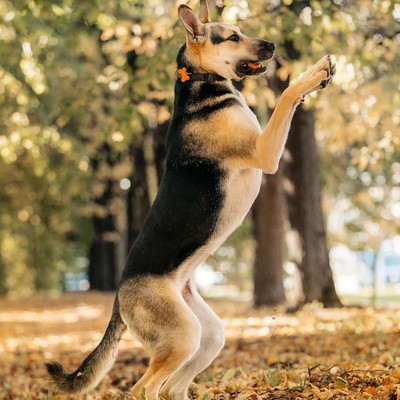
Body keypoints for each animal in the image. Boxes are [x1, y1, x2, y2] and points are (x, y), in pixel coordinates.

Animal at [45, 1, 336, 398]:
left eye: (241, 31)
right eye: (232, 37)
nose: (274, 45)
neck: (200, 81)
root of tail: (119, 299)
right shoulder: (264, 152)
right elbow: (286, 96)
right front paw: (313, 73)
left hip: (207, 335)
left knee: (172, 388)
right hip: (182, 337)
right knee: (144, 388)